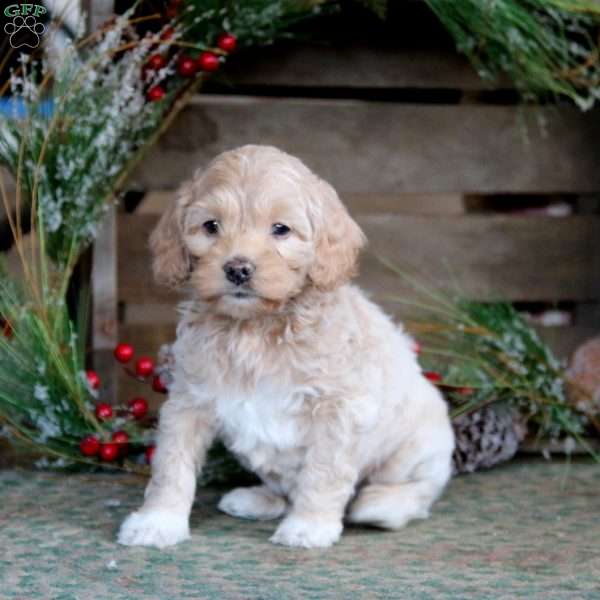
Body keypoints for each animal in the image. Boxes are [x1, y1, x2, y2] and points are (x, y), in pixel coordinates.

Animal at [118, 144, 454, 548]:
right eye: (211, 226)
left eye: (281, 230)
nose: (238, 269)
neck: (254, 329)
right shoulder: (188, 400)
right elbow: (171, 465)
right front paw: (158, 521)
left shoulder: (337, 410)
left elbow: (323, 472)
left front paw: (309, 526)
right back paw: (258, 499)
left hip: (418, 447)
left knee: (419, 491)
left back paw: (381, 505)